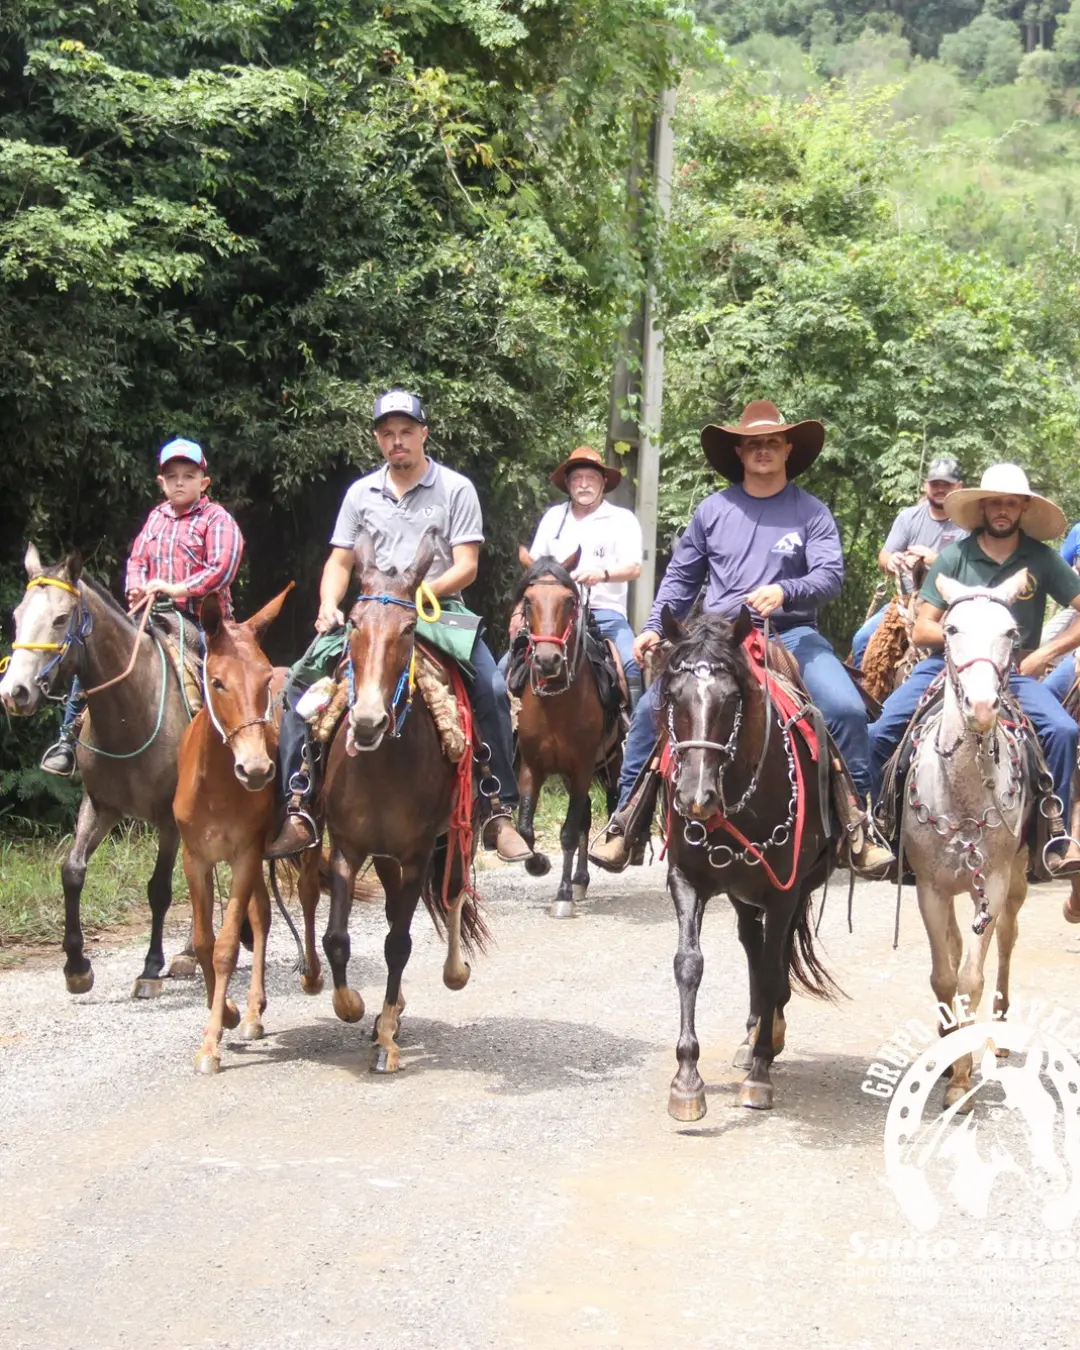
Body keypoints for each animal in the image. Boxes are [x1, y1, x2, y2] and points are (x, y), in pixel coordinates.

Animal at [1, 542, 194, 999]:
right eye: (17, 615)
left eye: (59, 619)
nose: (14, 693)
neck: (131, 710)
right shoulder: (100, 805)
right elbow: (72, 872)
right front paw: (76, 967)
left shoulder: (168, 818)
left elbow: (159, 889)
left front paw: (150, 967)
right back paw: (191, 953)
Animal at [172, 585, 322, 1080]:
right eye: (217, 682)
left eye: (260, 682)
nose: (256, 770)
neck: (217, 786)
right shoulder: (195, 858)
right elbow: (204, 942)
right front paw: (229, 1014)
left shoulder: (243, 854)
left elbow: (224, 948)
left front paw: (211, 1045)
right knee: (262, 916)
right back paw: (253, 1012)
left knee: (306, 900)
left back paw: (312, 974)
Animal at [321, 531, 488, 1069]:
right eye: (353, 622)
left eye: (410, 627)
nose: (368, 721)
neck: (381, 766)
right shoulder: (347, 847)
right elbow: (337, 938)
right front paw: (353, 1006)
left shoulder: (417, 853)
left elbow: (399, 943)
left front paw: (388, 1040)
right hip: (385, 856)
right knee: (396, 906)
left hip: (455, 837)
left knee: (453, 893)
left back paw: (451, 973)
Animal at [515, 545, 623, 918]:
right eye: (528, 599)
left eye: (569, 600)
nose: (548, 660)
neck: (557, 703)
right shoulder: (531, 766)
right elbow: (525, 828)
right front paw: (537, 864)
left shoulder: (582, 767)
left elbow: (568, 831)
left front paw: (562, 894)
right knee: (587, 815)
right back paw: (579, 879)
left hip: (610, 764)